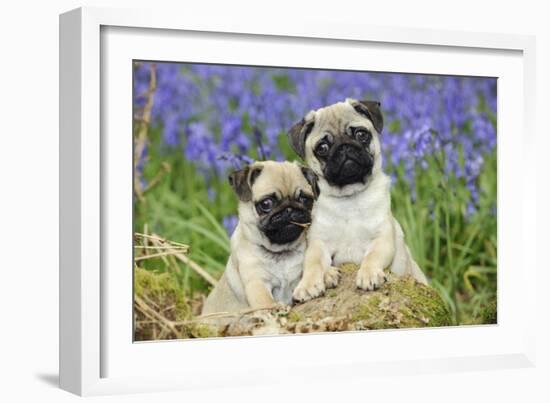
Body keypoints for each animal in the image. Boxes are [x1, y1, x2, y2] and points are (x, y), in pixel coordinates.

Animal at [203, 161, 322, 316]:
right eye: (266, 204)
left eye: (304, 199)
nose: (289, 209)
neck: (281, 252)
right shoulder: (256, 282)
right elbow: (264, 300)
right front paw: (274, 308)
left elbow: (312, 269)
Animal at [288, 98, 432, 304]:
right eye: (322, 148)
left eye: (361, 134)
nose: (344, 147)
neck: (350, 198)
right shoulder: (318, 244)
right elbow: (312, 264)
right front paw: (307, 285)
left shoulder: (382, 238)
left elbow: (372, 256)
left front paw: (369, 274)